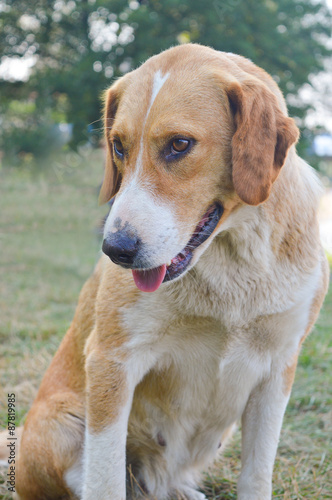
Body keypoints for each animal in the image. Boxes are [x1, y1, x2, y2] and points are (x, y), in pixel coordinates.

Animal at [7, 45, 330, 498]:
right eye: (117, 146)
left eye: (179, 144)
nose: (116, 249)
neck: (233, 260)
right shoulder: (112, 362)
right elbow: (104, 481)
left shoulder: (277, 370)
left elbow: (256, 474)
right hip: (63, 427)